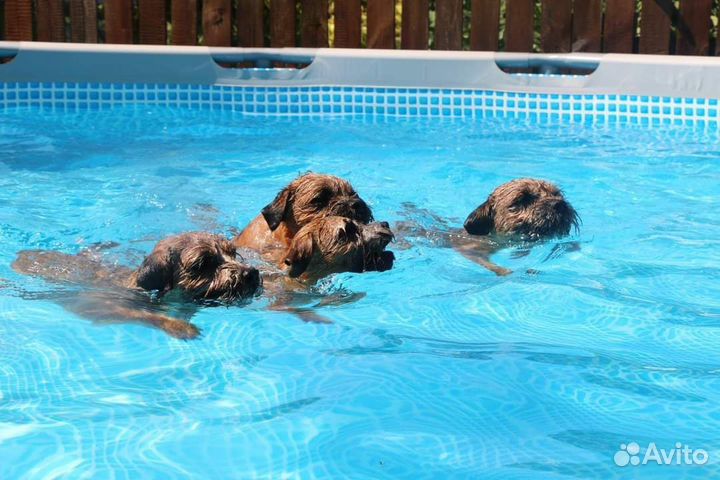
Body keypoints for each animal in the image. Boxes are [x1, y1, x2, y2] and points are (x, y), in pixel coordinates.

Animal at [12, 232, 260, 338]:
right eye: (202, 263)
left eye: (232, 252)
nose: (252, 273)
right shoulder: (106, 307)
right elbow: (144, 315)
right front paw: (179, 327)